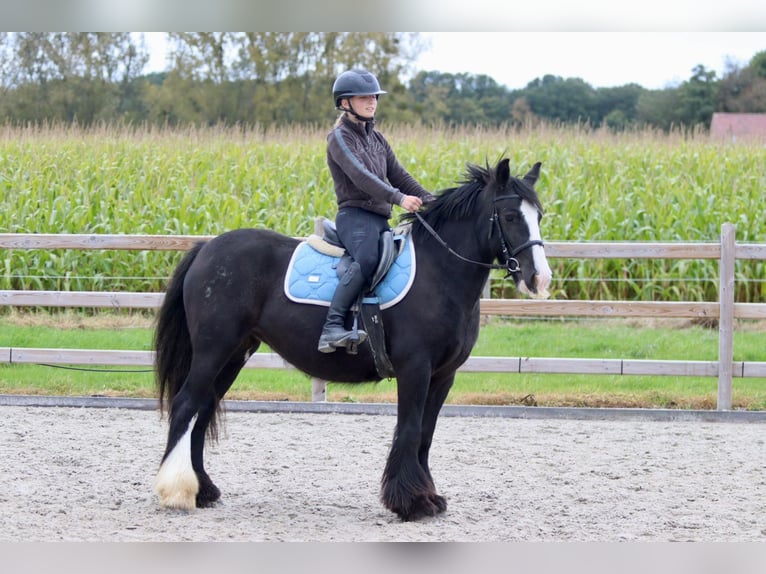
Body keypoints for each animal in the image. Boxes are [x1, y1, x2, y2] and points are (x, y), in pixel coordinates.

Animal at [154, 156, 552, 520]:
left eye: (540, 215)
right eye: (511, 216)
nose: (540, 279)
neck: (438, 273)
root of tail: (206, 249)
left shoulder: (443, 376)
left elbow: (425, 435)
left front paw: (428, 498)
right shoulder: (415, 369)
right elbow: (409, 430)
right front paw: (411, 503)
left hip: (236, 352)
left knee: (204, 409)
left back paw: (204, 489)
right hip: (213, 349)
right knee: (187, 404)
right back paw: (177, 492)